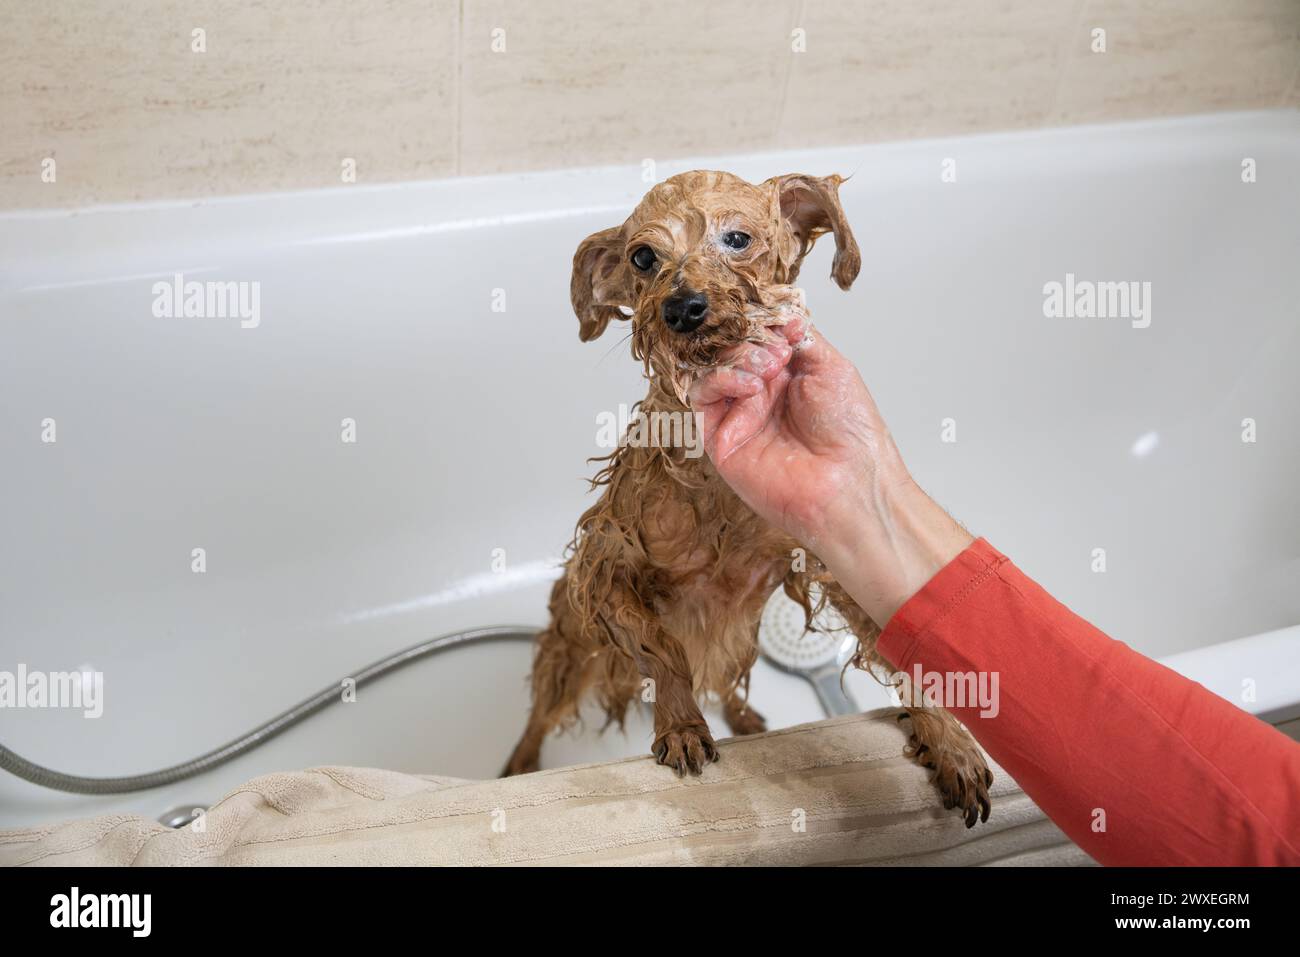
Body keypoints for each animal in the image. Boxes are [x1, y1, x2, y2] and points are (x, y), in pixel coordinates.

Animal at [501, 170, 987, 821]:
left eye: (738, 239)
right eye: (643, 257)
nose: (682, 305)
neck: (715, 483)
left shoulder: (834, 552)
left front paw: (950, 740)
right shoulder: (607, 564)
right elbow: (662, 647)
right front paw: (682, 724)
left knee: (725, 677)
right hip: (571, 648)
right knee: (540, 713)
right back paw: (519, 766)